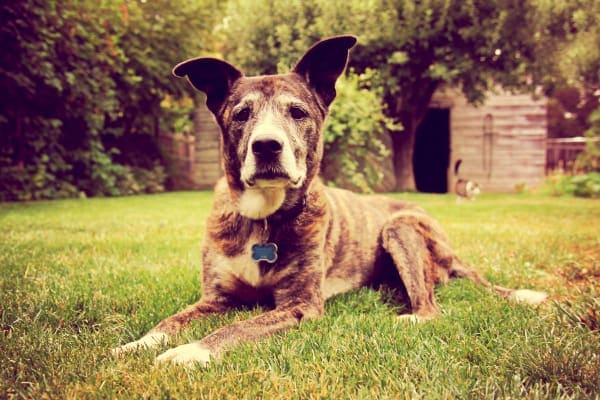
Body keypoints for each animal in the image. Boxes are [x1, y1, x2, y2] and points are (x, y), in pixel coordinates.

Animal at [110, 36, 548, 368]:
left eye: (298, 112)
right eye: (241, 114)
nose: (266, 145)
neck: (263, 218)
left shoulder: (301, 305)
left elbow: (238, 327)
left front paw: (190, 352)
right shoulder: (215, 298)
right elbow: (169, 321)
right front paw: (136, 344)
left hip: (399, 228)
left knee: (431, 309)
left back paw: (404, 317)